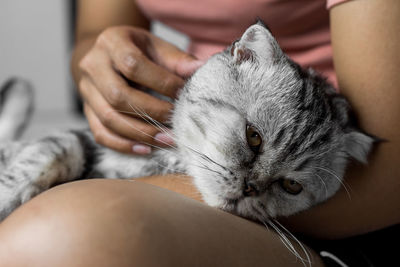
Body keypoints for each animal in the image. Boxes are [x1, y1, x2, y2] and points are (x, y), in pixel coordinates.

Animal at [0, 21, 376, 223]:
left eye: (292, 186)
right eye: (253, 136)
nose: (250, 188)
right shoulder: (79, 138)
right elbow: (44, 156)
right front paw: (8, 196)